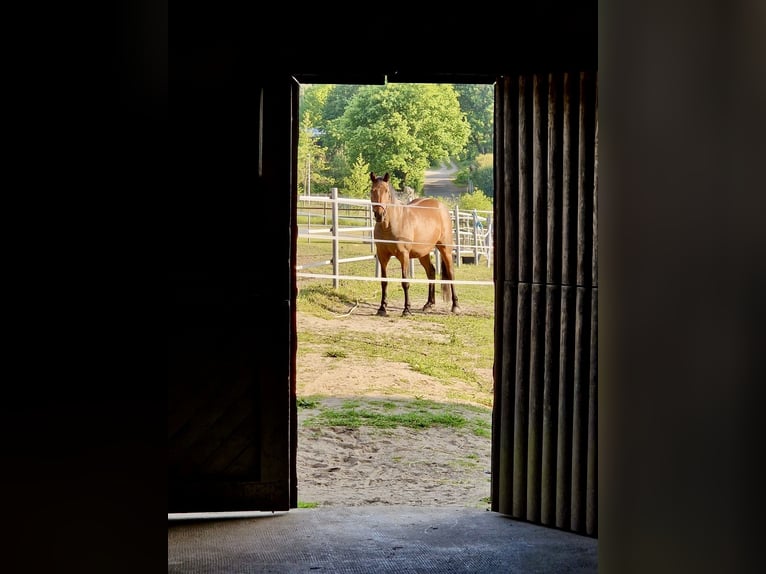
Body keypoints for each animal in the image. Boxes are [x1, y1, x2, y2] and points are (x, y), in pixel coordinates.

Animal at [370, 173, 462, 318]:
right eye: (372, 190)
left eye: (386, 191)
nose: (379, 214)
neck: (392, 224)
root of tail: (441, 206)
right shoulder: (382, 256)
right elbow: (384, 281)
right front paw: (382, 308)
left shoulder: (404, 256)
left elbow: (405, 282)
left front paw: (407, 309)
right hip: (423, 253)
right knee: (431, 272)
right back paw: (429, 304)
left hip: (445, 249)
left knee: (451, 273)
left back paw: (455, 306)